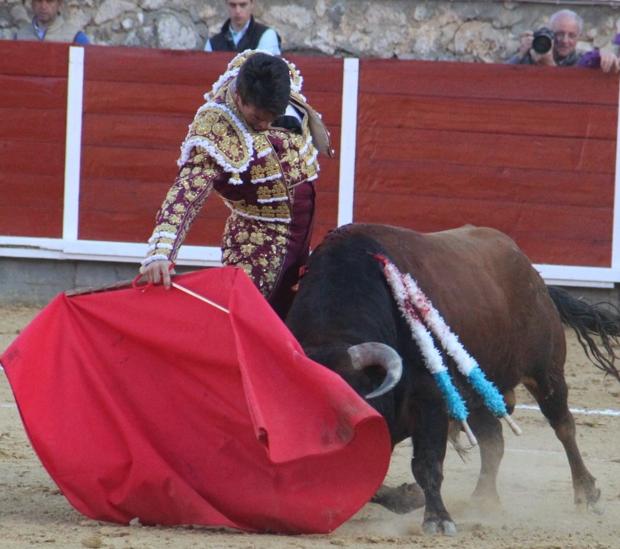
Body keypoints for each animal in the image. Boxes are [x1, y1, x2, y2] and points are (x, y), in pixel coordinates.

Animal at [286, 220, 620, 532]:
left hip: (546, 371)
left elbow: (426, 463)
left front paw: (436, 518)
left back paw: (587, 494)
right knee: (493, 441)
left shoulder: (430, 400)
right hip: (478, 393)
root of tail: (533, 274)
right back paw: (483, 500)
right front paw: (407, 498)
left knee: (563, 427)